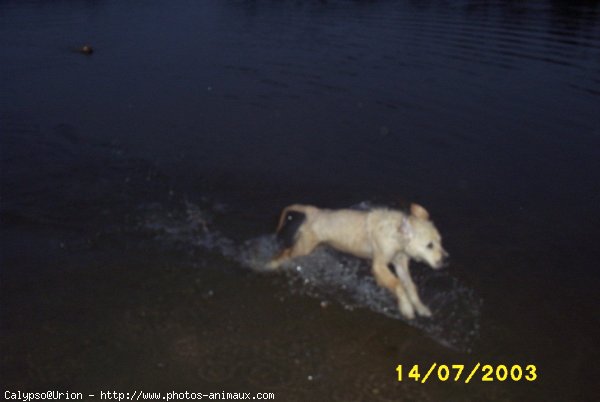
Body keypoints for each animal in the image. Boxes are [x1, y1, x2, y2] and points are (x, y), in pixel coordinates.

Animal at [266, 203, 446, 318]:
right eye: (429, 245)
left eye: (440, 242)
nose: (446, 260)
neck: (396, 234)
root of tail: (314, 212)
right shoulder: (379, 265)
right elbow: (396, 284)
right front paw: (407, 308)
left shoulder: (400, 264)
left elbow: (410, 286)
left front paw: (421, 308)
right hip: (303, 247)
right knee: (283, 254)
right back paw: (269, 265)